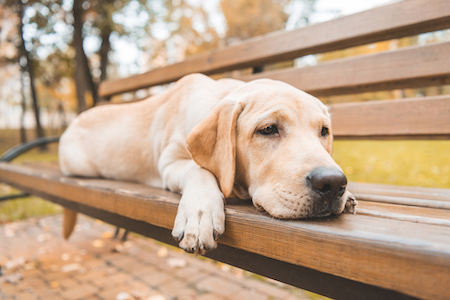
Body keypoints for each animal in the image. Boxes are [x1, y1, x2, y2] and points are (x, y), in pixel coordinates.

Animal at [59, 72, 356, 253]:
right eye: (269, 129)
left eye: (324, 131)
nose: (332, 183)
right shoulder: (169, 162)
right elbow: (199, 168)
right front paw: (199, 213)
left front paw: (349, 194)